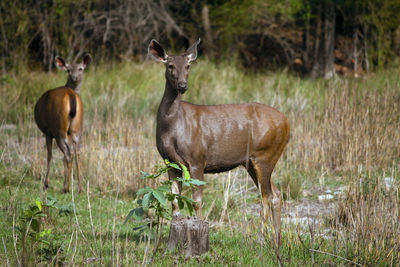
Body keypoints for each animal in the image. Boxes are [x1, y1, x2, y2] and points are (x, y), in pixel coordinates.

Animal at [33, 55, 91, 194]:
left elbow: (49, 155)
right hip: (77, 128)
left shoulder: (47, 132)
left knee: (68, 153)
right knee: (77, 152)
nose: (75, 77)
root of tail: (71, 95)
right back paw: (79, 188)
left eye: (81, 69)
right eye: (68, 70)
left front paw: (46, 184)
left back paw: (66, 188)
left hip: (59, 128)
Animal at [148, 38, 290, 246]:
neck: (172, 129)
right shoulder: (169, 161)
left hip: (265, 155)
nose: (182, 85)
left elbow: (197, 201)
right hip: (251, 161)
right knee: (277, 194)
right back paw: (277, 240)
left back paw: (261, 240)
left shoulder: (197, 158)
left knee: (267, 197)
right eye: (170, 65)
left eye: (188, 66)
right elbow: (174, 200)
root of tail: (287, 123)